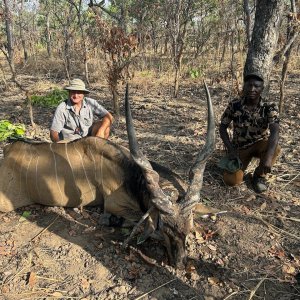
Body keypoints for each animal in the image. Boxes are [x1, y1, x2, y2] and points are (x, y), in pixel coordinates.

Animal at [0, 84, 216, 268]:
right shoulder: (114, 204)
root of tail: (8, 152)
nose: (179, 263)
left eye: (187, 228)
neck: (130, 174)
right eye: (163, 228)